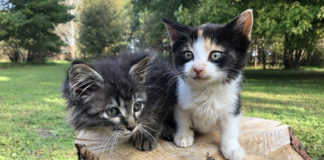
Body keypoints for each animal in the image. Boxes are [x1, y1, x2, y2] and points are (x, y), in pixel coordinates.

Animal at [163, 9, 252, 159]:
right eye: (188, 55)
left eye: (215, 55)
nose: (197, 68)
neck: (206, 89)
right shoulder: (179, 99)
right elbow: (182, 118)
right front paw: (183, 135)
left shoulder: (233, 102)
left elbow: (230, 126)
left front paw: (232, 148)